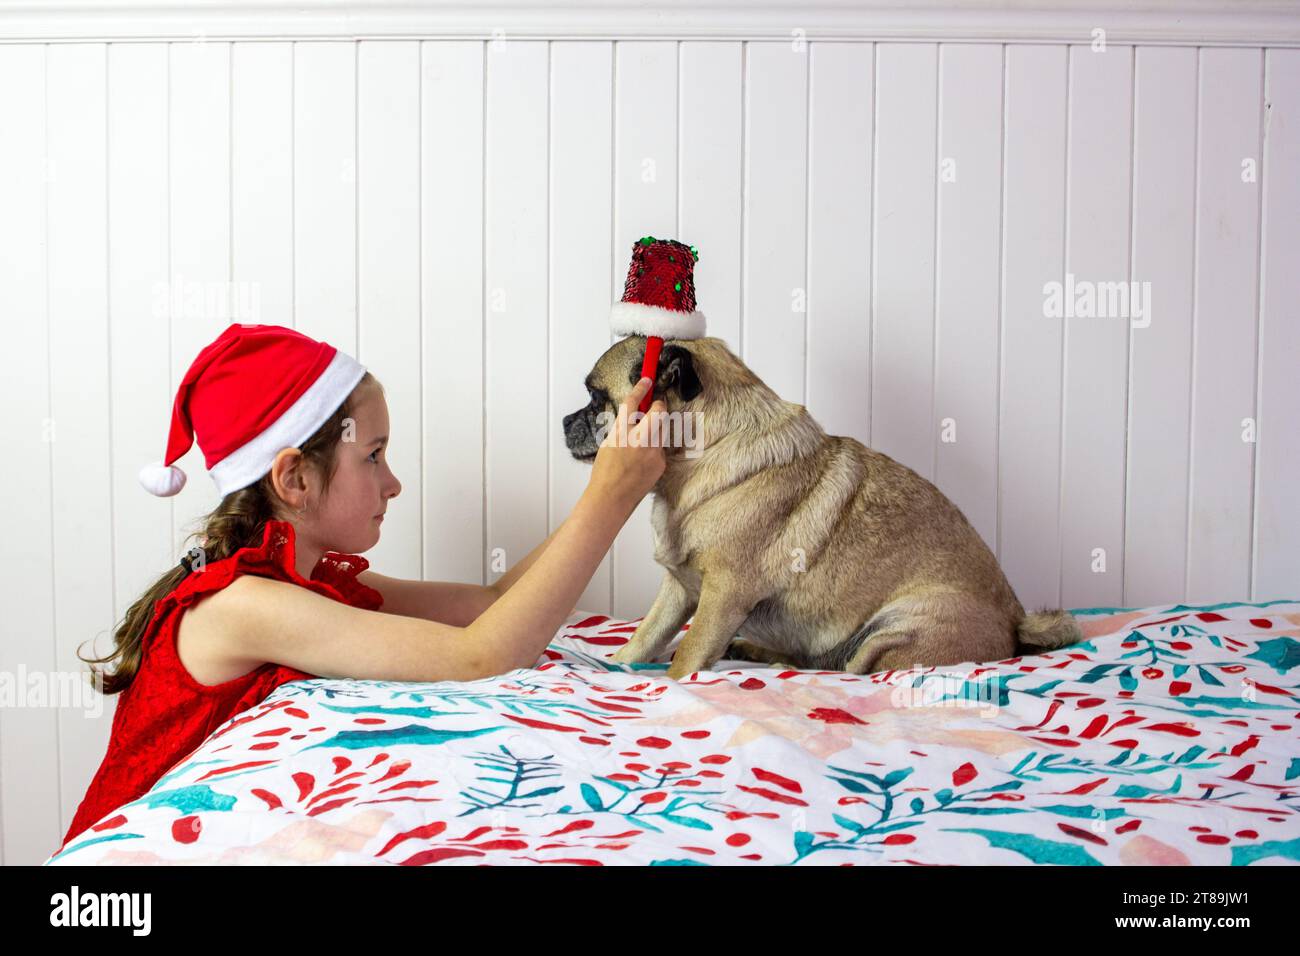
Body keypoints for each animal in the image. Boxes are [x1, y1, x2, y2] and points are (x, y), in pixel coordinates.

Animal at [564, 335, 1081, 681]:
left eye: (595, 398)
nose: (566, 420)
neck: (701, 455)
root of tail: (1016, 624)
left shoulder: (722, 595)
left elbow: (687, 656)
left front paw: (669, 688)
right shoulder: (679, 589)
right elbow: (646, 637)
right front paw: (617, 665)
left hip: (903, 625)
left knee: (849, 670)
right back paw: (757, 652)